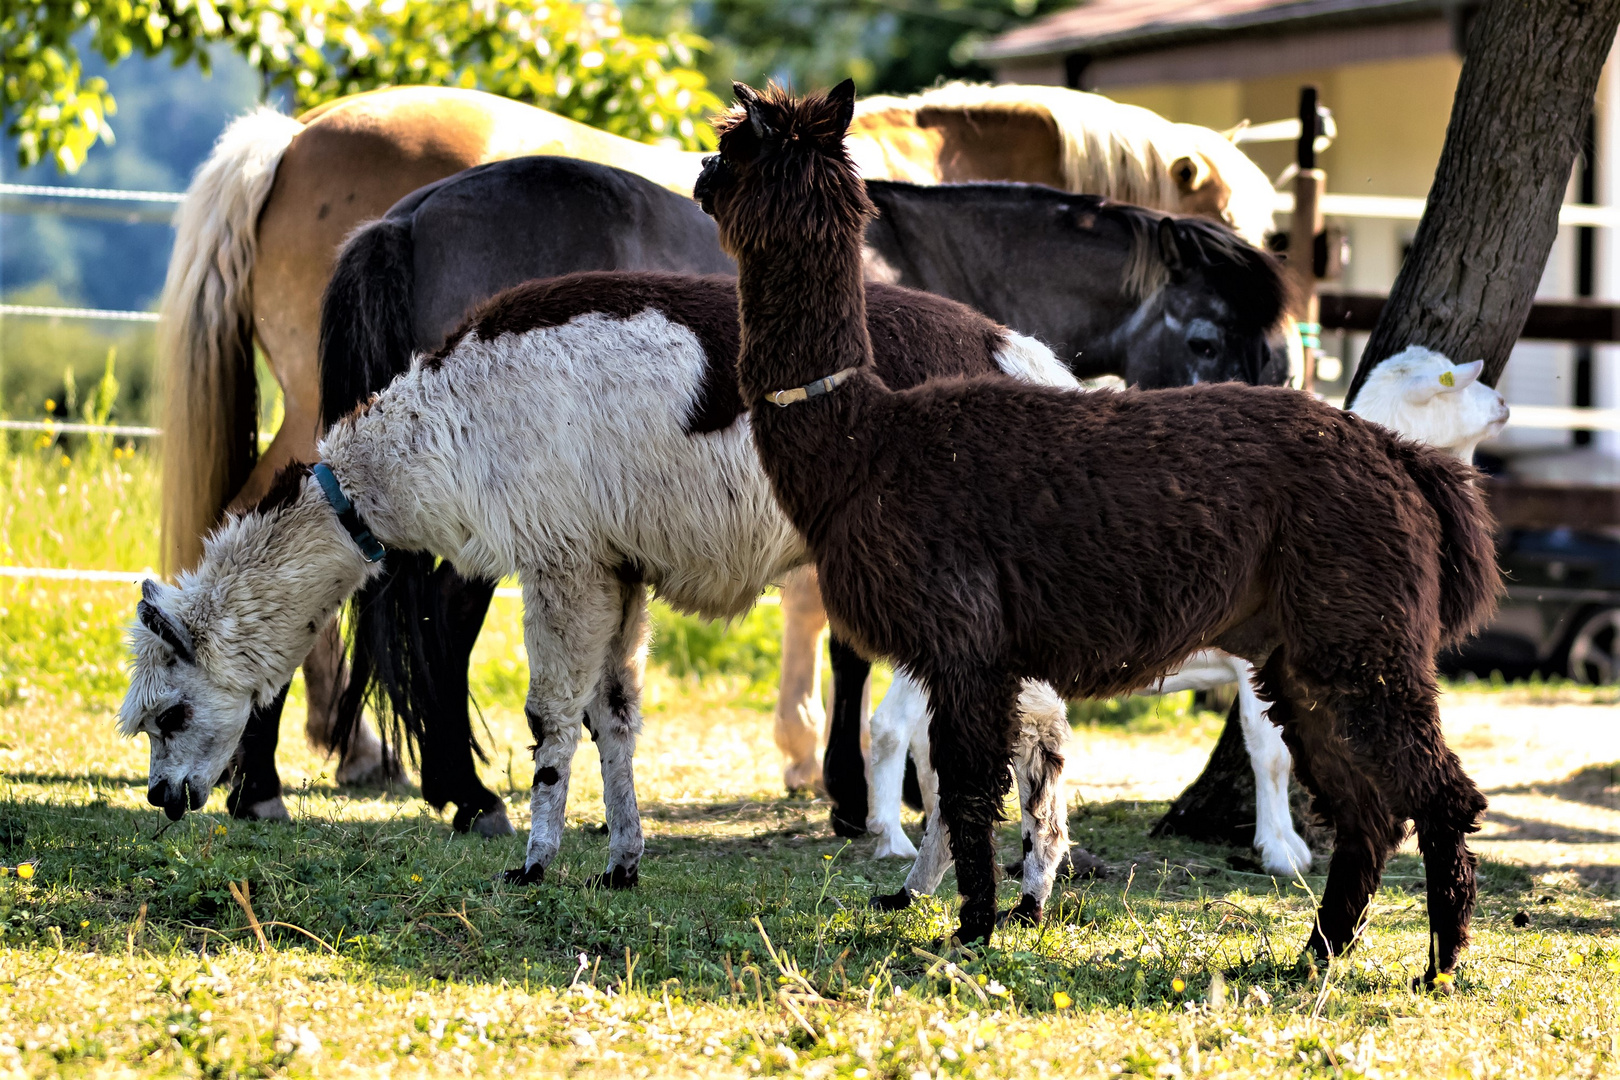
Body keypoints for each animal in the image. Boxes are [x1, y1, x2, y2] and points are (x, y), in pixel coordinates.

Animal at [157, 84, 1283, 806]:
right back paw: (409, 786)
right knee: (395, 596)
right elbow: (847, 638)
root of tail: (403, 219)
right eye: (1206, 339)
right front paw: (852, 790)